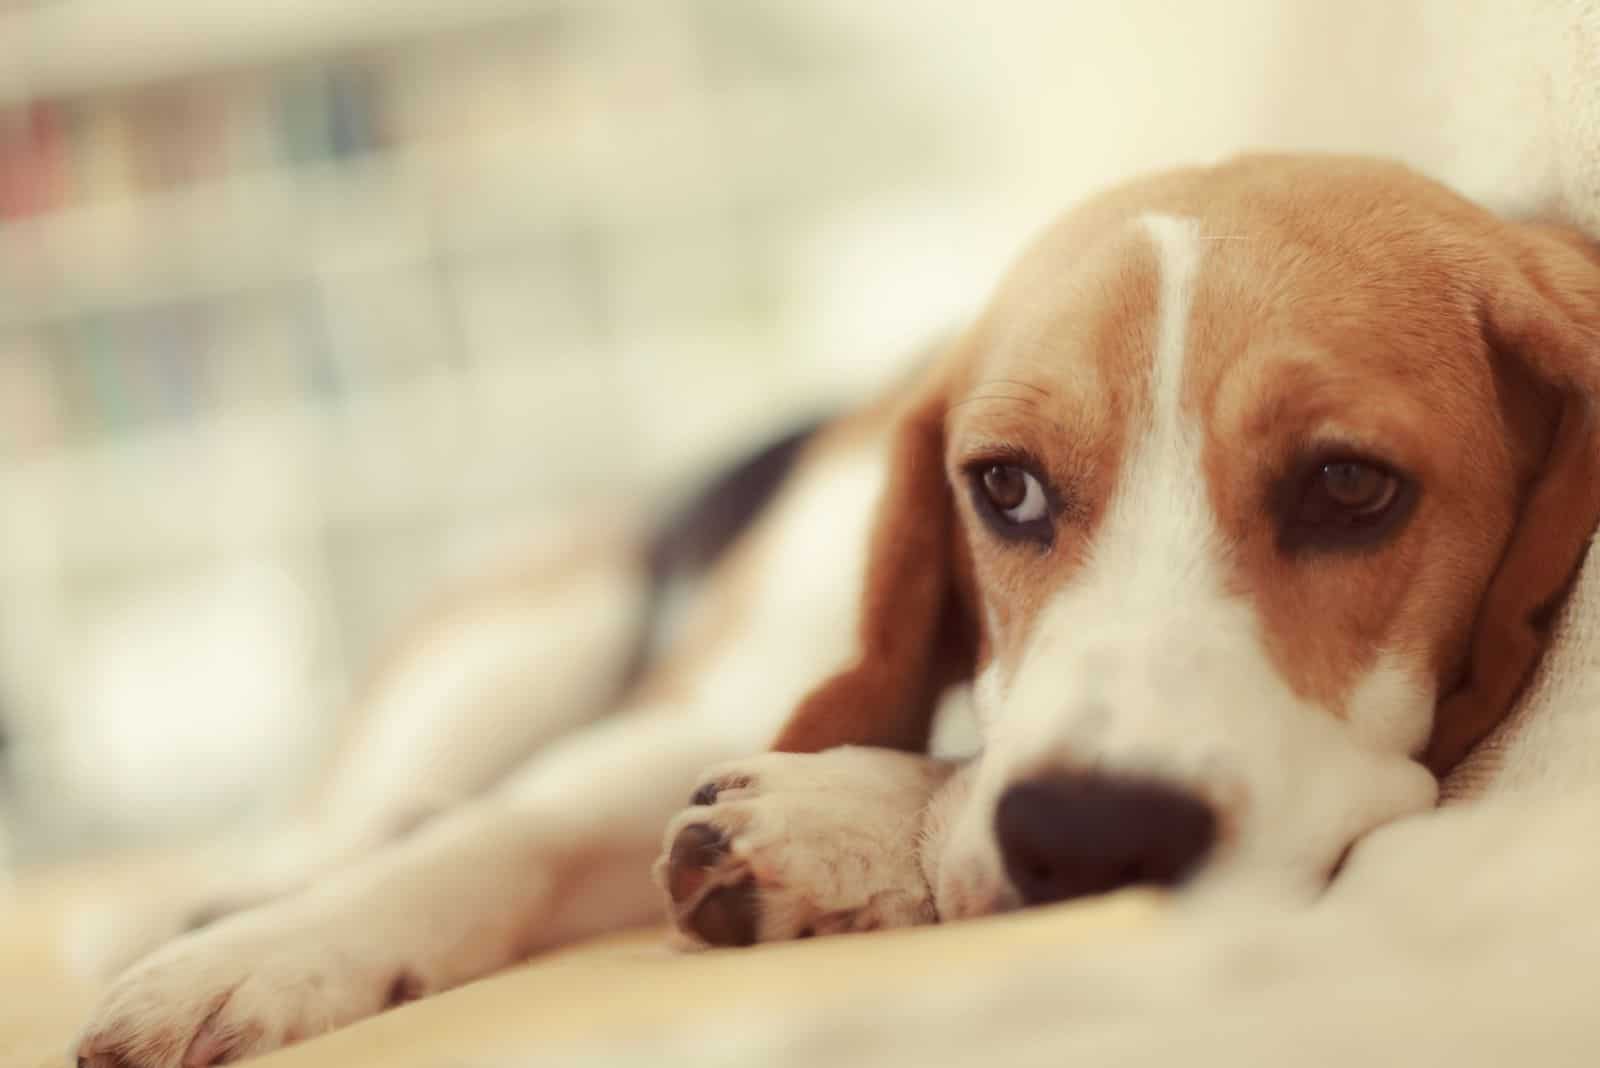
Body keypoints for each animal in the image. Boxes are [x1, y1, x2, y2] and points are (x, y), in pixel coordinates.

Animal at [78, 156, 1600, 1068]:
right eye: (1004, 487)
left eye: (1349, 486)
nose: (1091, 836)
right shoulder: (697, 707)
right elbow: (505, 833)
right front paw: (260, 957)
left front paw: (834, 830)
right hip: (514, 654)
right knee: (370, 805)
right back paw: (211, 897)